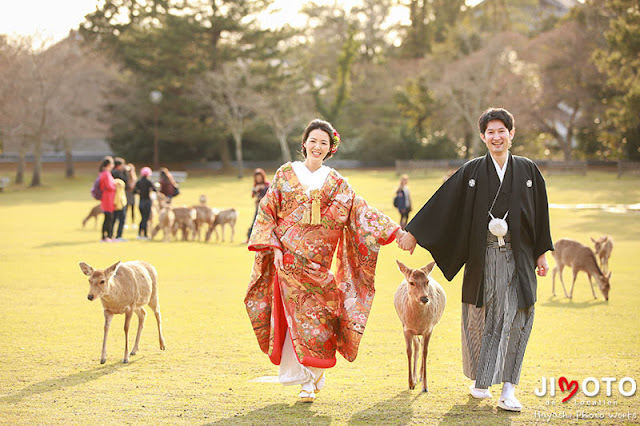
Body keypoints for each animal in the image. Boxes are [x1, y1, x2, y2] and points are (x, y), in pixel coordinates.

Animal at [392, 260, 448, 392]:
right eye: (412, 282)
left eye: (427, 281)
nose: (424, 298)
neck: (418, 321)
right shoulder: (406, 328)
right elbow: (409, 351)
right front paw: (411, 383)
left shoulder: (429, 328)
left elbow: (425, 351)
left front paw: (425, 387)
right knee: (417, 345)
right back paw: (415, 376)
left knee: (421, 346)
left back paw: (421, 376)